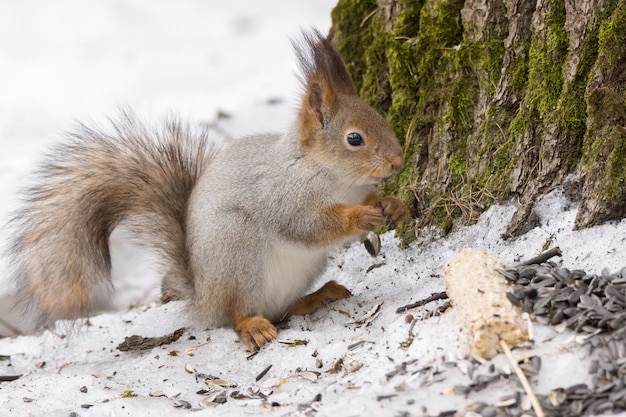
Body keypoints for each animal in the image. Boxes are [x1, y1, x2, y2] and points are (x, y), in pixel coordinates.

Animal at [8, 27, 410, 350]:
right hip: (239, 255)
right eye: (354, 138)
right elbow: (310, 226)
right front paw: (362, 215)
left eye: (381, 116)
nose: (397, 162)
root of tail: (204, 297)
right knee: (238, 314)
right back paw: (254, 326)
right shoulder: (285, 197)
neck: (335, 177)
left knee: (281, 308)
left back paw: (317, 296)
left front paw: (393, 204)